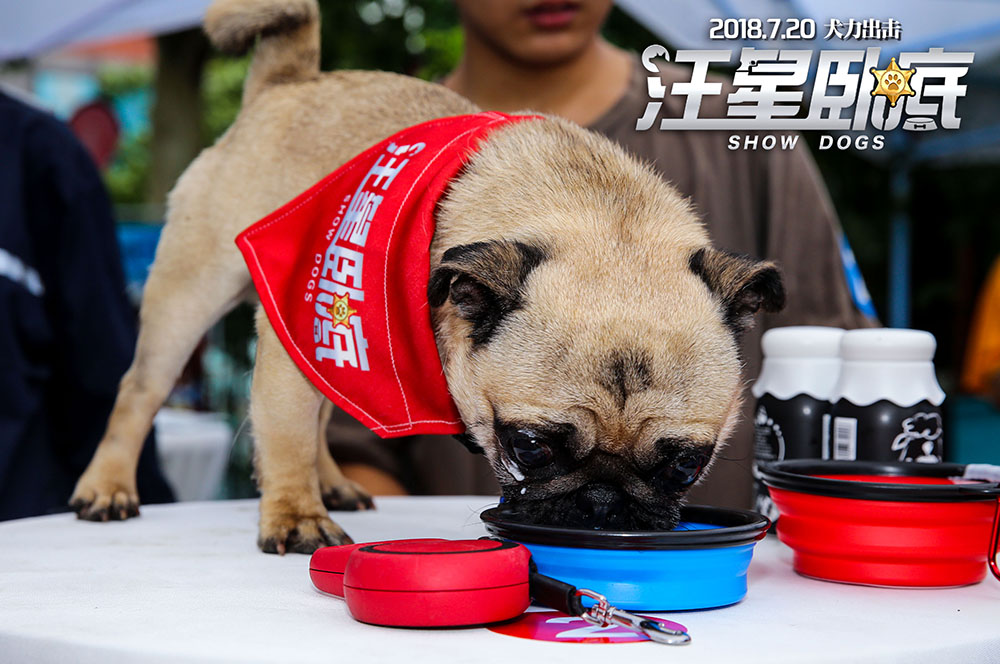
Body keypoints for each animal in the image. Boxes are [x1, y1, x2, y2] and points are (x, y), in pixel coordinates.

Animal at [70, 0, 784, 553]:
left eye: (687, 464)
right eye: (530, 446)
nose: (604, 499)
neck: (605, 217)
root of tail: (284, 84)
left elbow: (302, 424)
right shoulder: (292, 338)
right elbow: (284, 430)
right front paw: (295, 516)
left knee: (324, 410)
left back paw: (333, 483)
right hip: (198, 294)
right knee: (141, 390)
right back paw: (108, 488)